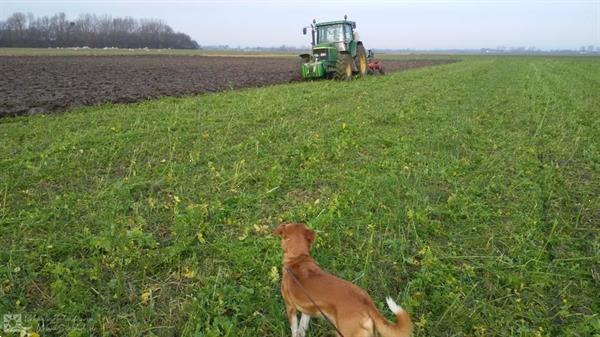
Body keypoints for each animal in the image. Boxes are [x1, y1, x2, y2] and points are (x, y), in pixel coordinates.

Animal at [274, 222, 410, 334]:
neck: (297, 258)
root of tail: (367, 303)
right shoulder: (307, 309)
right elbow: (302, 328)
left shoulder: (290, 307)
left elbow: (294, 329)